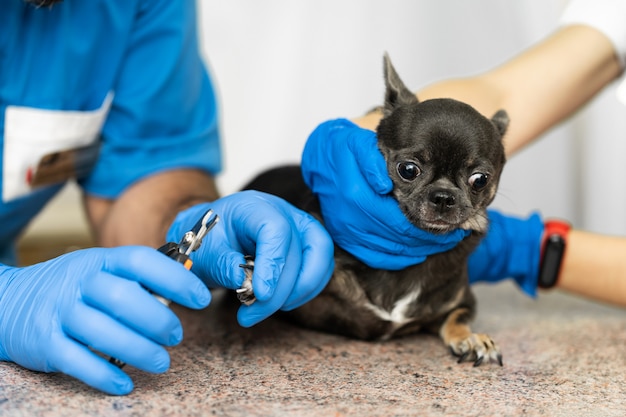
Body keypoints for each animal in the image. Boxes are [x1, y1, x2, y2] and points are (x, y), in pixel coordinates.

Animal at [241, 54, 504, 364]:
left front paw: (471, 338)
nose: (443, 196)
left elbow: (457, 318)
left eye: (480, 179)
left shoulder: (461, 302)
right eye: (408, 170)